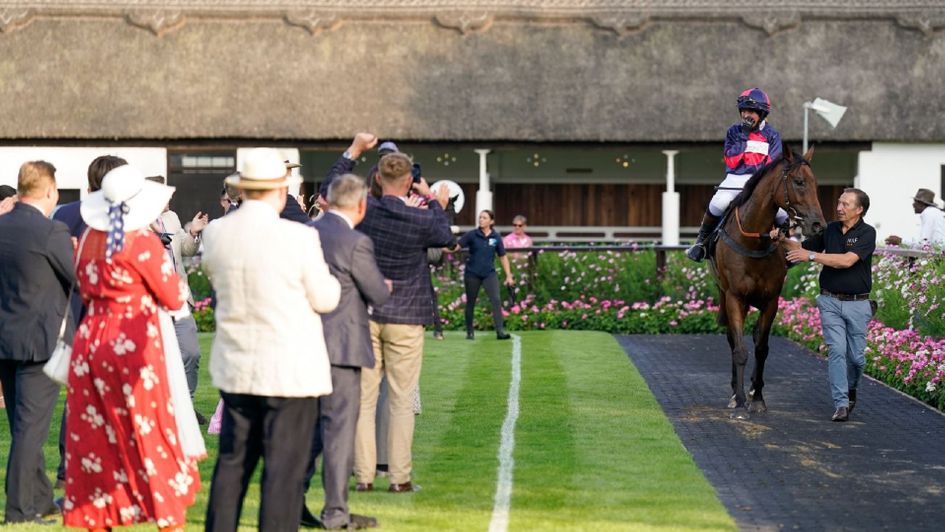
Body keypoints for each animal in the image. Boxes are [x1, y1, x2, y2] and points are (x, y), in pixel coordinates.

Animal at [708, 145, 824, 420]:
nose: (818, 224)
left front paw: (757, 397)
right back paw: (735, 393)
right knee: (732, 339)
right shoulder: (735, 297)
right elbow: (740, 349)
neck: (754, 240)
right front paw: (739, 401)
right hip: (725, 294)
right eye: (799, 181)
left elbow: (761, 348)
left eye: (815, 183)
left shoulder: (771, 300)